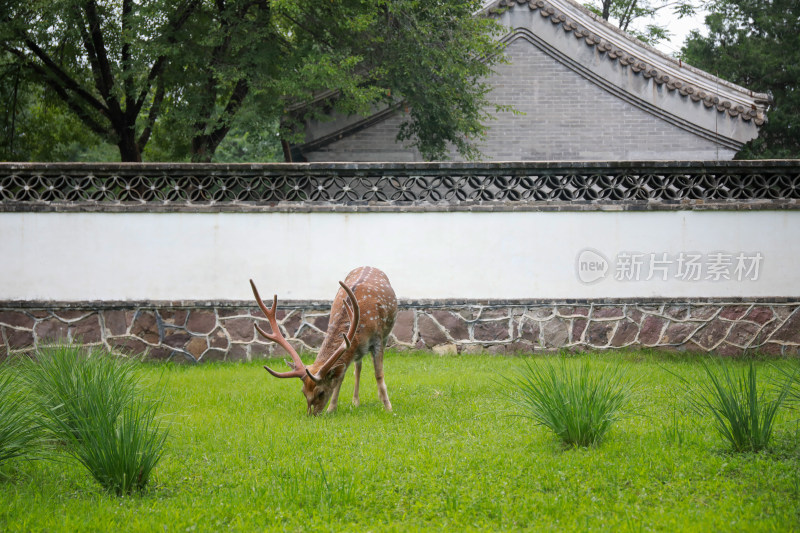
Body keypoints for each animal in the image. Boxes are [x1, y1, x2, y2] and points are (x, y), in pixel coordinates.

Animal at [250, 266, 396, 416]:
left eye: (320, 393)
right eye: (303, 392)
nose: (312, 414)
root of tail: (368, 266)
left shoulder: (378, 338)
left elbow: (379, 374)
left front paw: (388, 407)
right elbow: (340, 377)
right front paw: (331, 409)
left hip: (385, 334)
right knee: (358, 367)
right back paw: (355, 401)